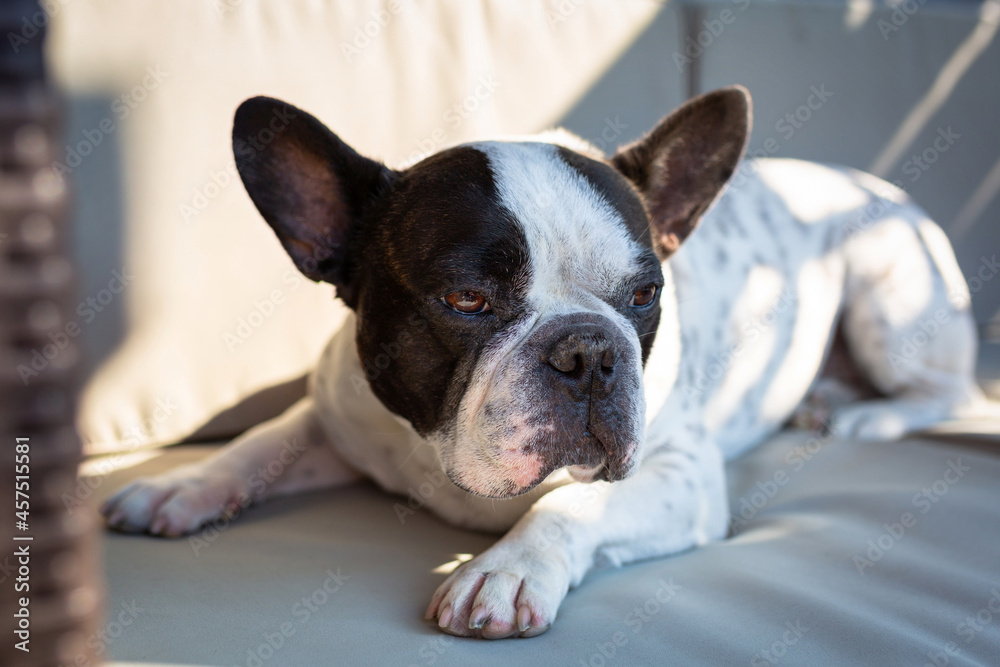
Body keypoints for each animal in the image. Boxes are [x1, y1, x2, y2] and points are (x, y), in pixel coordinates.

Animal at [97, 86, 988, 640]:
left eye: (644, 293)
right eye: (466, 300)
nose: (588, 349)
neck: (443, 461)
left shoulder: (681, 476)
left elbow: (572, 504)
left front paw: (508, 570)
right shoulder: (338, 414)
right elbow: (264, 440)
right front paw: (183, 485)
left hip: (888, 297)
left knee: (946, 390)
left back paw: (858, 412)